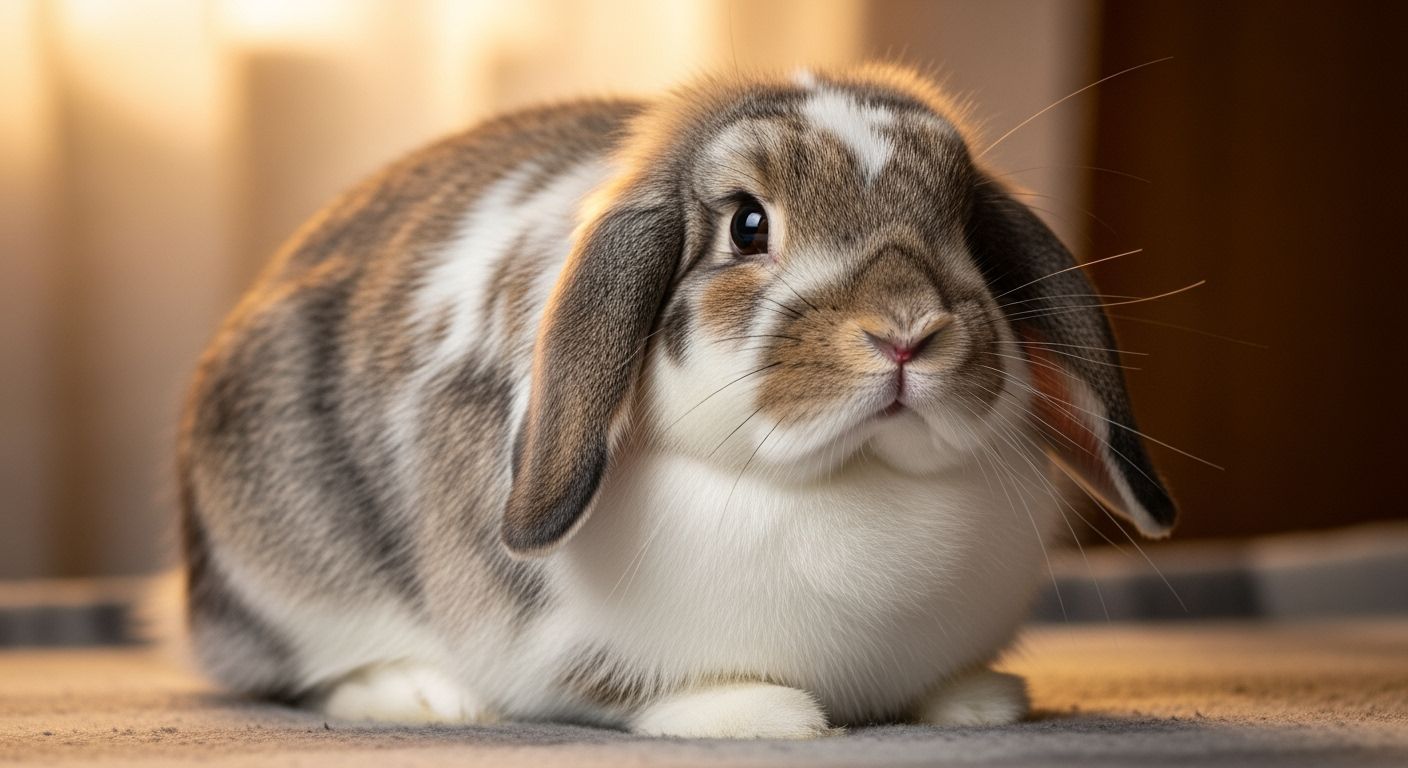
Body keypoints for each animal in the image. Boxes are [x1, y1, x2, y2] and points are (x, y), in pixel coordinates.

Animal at [177, 64, 1177, 738]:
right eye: (748, 224)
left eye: (967, 225)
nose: (906, 331)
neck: (843, 481)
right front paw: (763, 716)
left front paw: (976, 703)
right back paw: (422, 697)